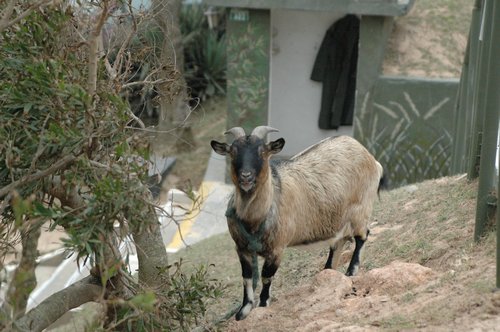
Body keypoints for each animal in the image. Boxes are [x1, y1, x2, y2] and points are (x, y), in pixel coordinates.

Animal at [210, 126, 382, 320]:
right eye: (233, 152)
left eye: (262, 151)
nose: (246, 177)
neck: (255, 219)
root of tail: (370, 158)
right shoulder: (241, 248)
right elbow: (246, 278)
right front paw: (243, 311)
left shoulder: (277, 249)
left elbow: (266, 277)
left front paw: (263, 304)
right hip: (339, 220)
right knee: (338, 243)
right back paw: (327, 271)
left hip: (361, 209)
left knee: (362, 237)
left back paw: (351, 271)